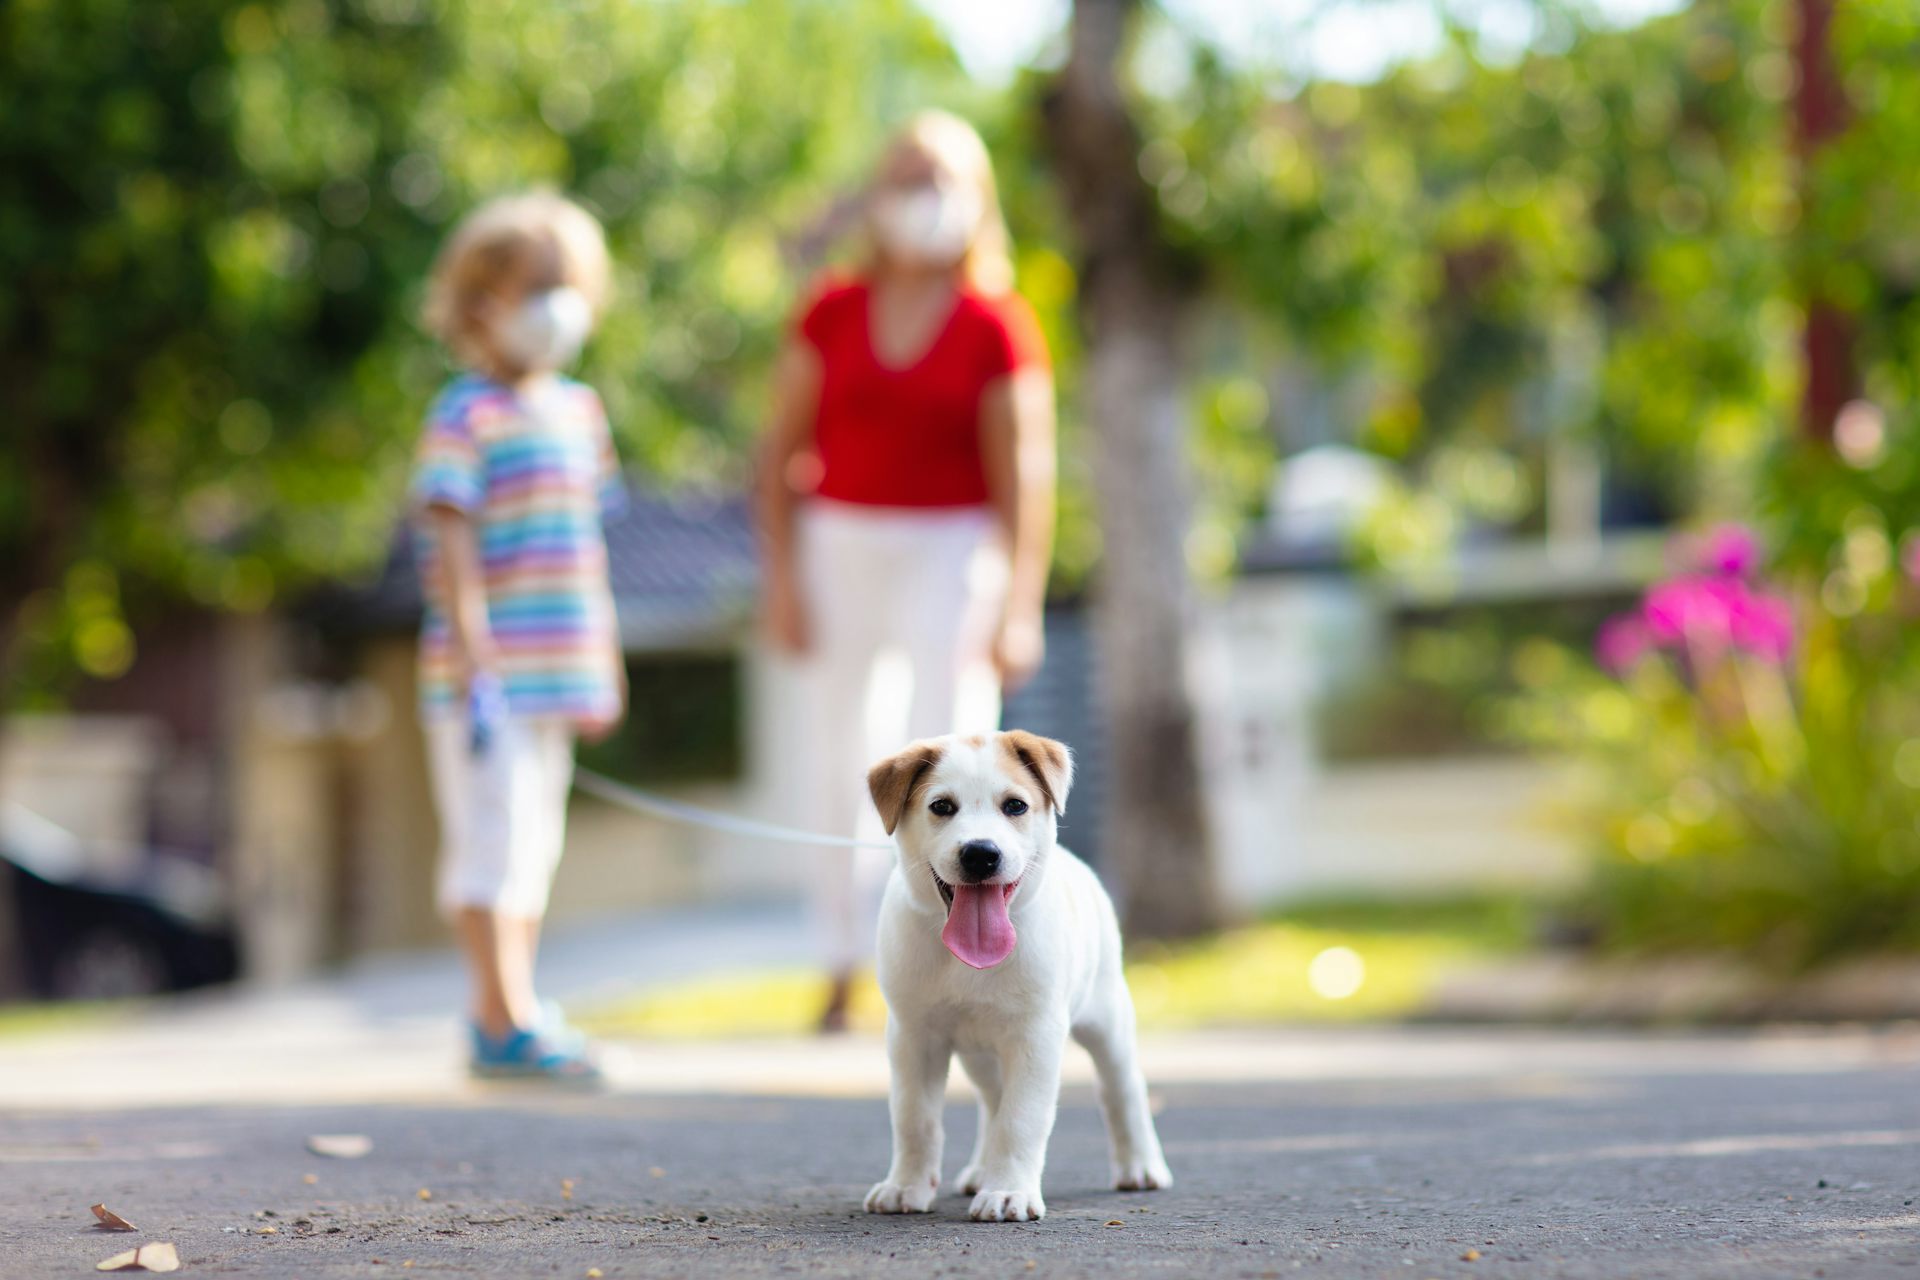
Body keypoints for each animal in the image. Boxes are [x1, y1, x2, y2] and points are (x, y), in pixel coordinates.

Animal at [860, 729, 1167, 1220]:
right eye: (941, 806)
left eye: (1016, 806)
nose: (981, 854)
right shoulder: (913, 1035)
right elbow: (914, 1119)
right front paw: (906, 1186)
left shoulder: (1035, 1037)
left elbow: (1021, 1119)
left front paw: (1008, 1192)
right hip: (980, 1053)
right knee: (992, 1100)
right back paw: (979, 1171)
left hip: (1108, 1021)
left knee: (1122, 1089)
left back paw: (1140, 1166)